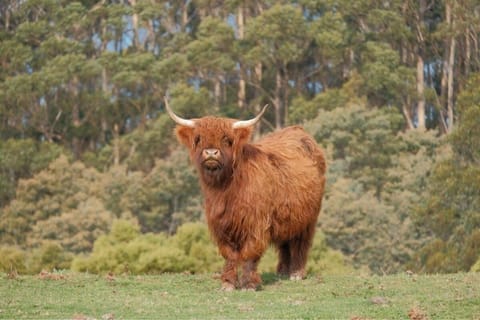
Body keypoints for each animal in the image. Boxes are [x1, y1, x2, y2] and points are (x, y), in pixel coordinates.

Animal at [165, 99, 326, 292]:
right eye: (198, 138)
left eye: (227, 139)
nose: (211, 153)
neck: (225, 189)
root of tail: (298, 131)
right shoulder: (221, 224)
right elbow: (229, 254)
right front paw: (228, 283)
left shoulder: (256, 223)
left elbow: (250, 252)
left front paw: (249, 284)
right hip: (287, 216)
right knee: (285, 243)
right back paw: (282, 271)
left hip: (308, 218)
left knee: (300, 242)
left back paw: (296, 273)